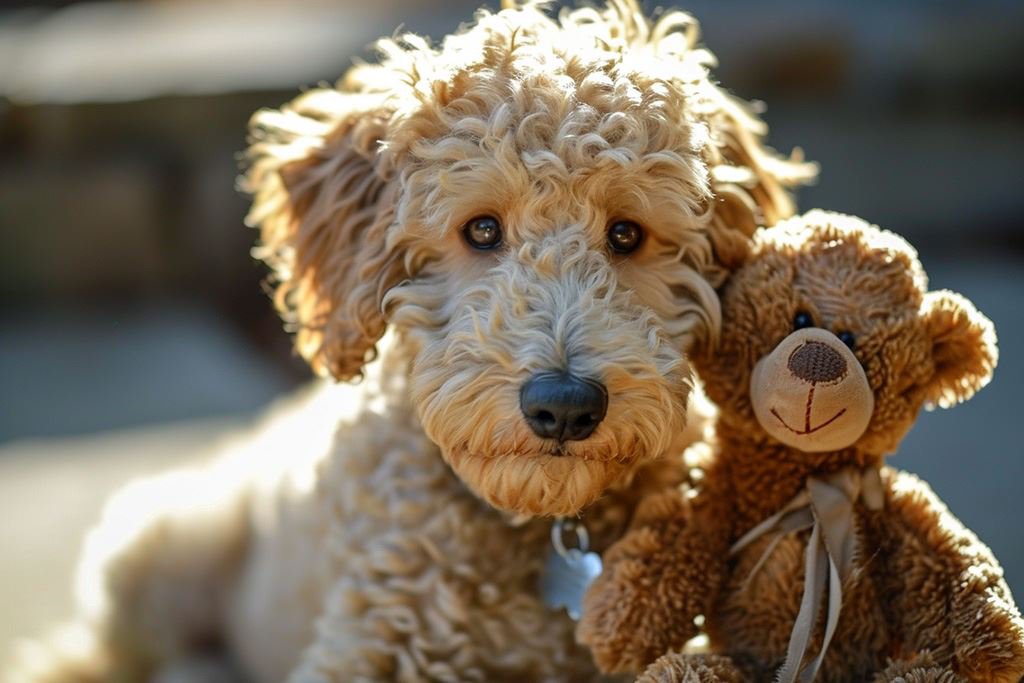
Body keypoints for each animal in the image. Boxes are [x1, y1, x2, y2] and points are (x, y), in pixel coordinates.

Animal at [16, 2, 811, 679]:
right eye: (481, 229)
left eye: (627, 234)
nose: (565, 406)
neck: (534, 525)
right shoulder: (369, 645)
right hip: (153, 553)